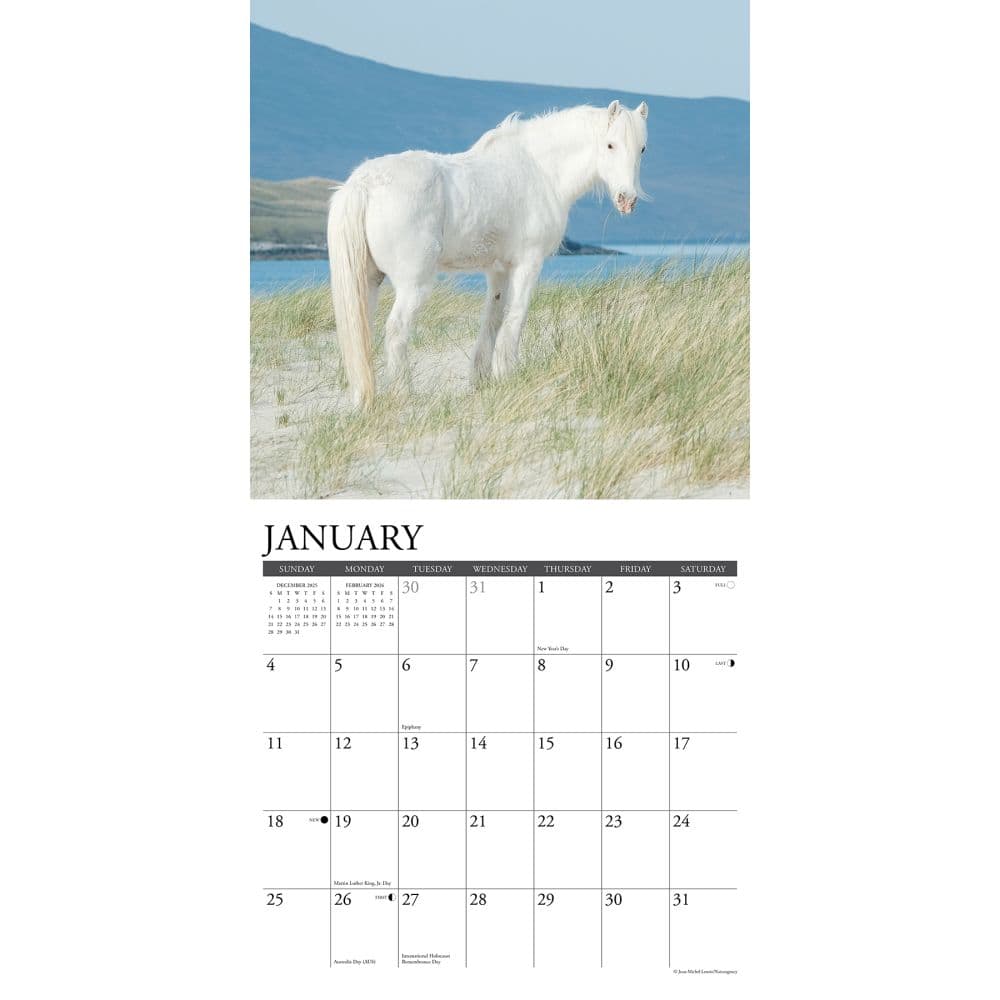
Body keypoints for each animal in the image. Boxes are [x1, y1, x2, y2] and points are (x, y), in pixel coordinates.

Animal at [327, 100, 649, 408]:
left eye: (642, 148)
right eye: (610, 145)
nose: (627, 199)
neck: (540, 169)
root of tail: (364, 184)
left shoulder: (499, 270)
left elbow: (492, 319)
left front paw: (480, 378)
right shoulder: (527, 264)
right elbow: (516, 316)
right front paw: (507, 373)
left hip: (368, 280)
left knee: (361, 331)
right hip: (413, 285)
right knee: (396, 331)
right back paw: (404, 394)